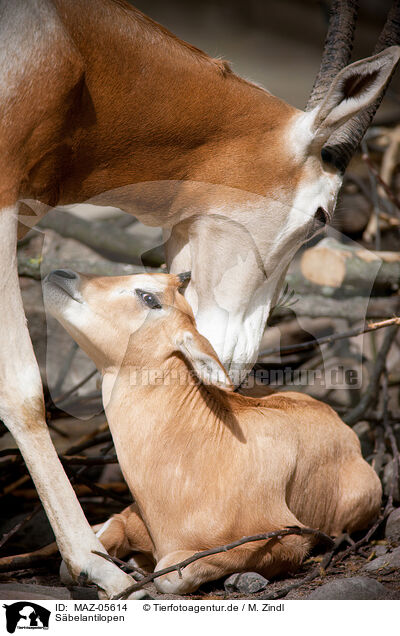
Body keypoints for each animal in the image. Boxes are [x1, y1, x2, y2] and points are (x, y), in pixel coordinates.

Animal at [43, 270, 382, 596]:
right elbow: (83, 553)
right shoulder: (131, 514)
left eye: (149, 297)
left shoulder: (287, 540)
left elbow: (172, 573)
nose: (60, 274)